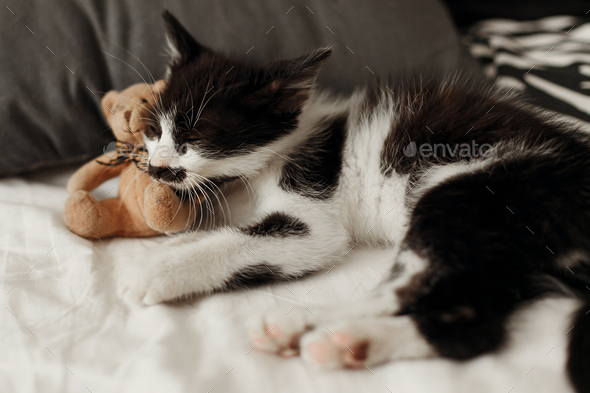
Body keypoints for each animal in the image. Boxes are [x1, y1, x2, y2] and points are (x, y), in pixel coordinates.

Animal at [118, 10, 590, 390]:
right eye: (153, 129)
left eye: (194, 138)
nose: (156, 168)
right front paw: (177, 244)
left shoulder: (311, 211)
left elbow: (244, 241)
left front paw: (156, 270)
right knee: (470, 323)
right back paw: (352, 342)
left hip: (469, 192)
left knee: (410, 286)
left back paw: (304, 324)